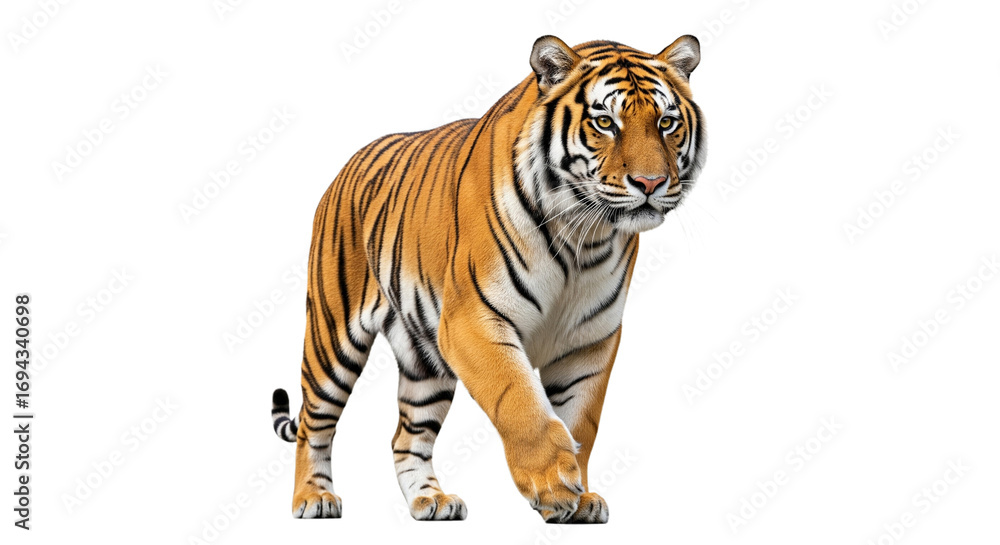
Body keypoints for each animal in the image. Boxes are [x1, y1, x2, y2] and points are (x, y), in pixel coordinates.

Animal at [270, 34, 705, 523]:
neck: (583, 236)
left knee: (406, 437)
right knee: (313, 423)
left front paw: (580, 497)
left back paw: (431, 500)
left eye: (667, 122)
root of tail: (348, 164)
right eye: (605, 122)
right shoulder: (473, 321)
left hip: (425, 361)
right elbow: (518, 399)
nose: (651, 183)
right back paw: (313, 498)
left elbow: (581, 421)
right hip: (332, 339)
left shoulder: (589, 340)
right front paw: (552, 482)